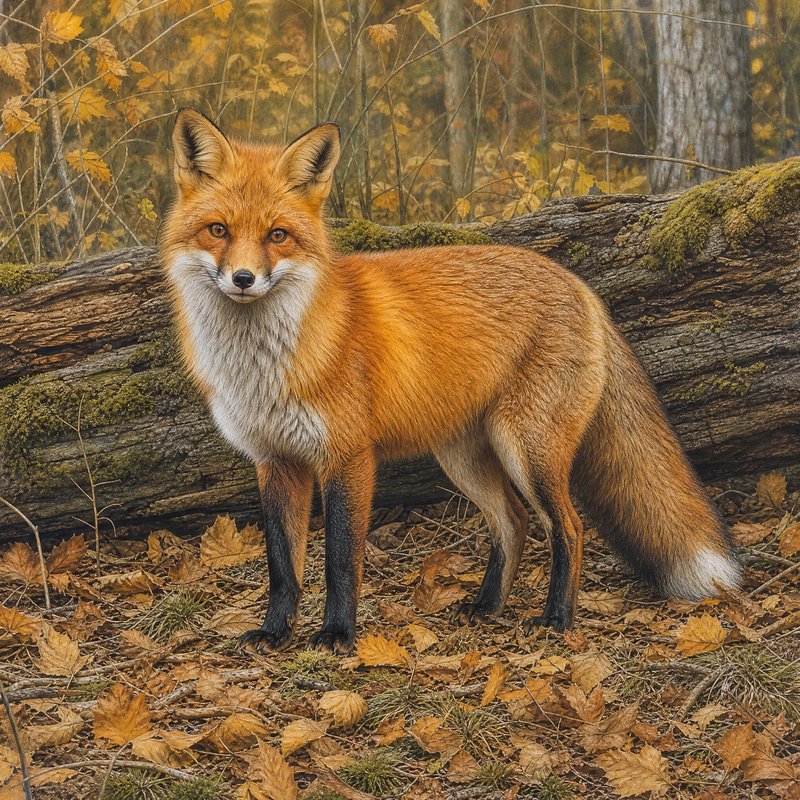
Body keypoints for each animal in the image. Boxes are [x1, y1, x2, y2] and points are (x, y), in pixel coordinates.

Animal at [160, 108, 741, 654]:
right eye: (218, 230)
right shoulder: (275, 460)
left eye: (277, 235)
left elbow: (341, 561)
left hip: (527, 449)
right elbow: (282, 566)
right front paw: (275, 632)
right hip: (465, 458)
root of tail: (579, 285)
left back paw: (556, 619)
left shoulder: (348, 457)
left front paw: (338, 634)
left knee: (568, 529)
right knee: (514, 523)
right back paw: (487, 606)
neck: (264, 366)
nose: (243, 279)